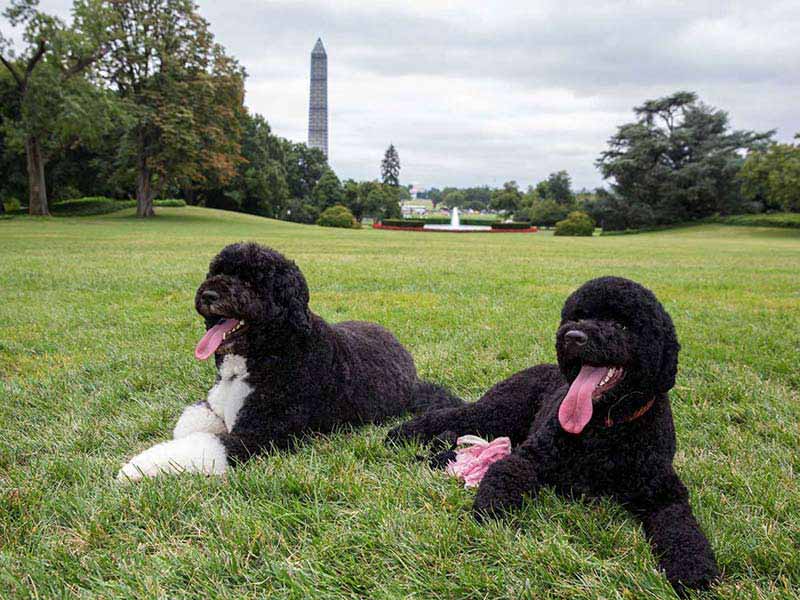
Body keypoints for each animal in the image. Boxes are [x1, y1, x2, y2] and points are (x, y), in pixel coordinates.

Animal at [118, 241, 456, 480]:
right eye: (216, 271)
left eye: (252, 281)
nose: (208, 295)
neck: (267, 352)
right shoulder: (215, 405)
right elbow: (191, 423)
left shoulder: (263, 434)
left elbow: (205, 444)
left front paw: (137, 467)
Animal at [388, 278, 720, 596]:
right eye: (579, 315)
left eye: (621, 324)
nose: (573, 336)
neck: (605, 427)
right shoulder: (531, 456)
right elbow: (505, 472)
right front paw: (491, 512)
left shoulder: (663, 491)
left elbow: (682, 528)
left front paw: (694, 570)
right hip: (497, 412)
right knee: (453, 416)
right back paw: (400, 434)